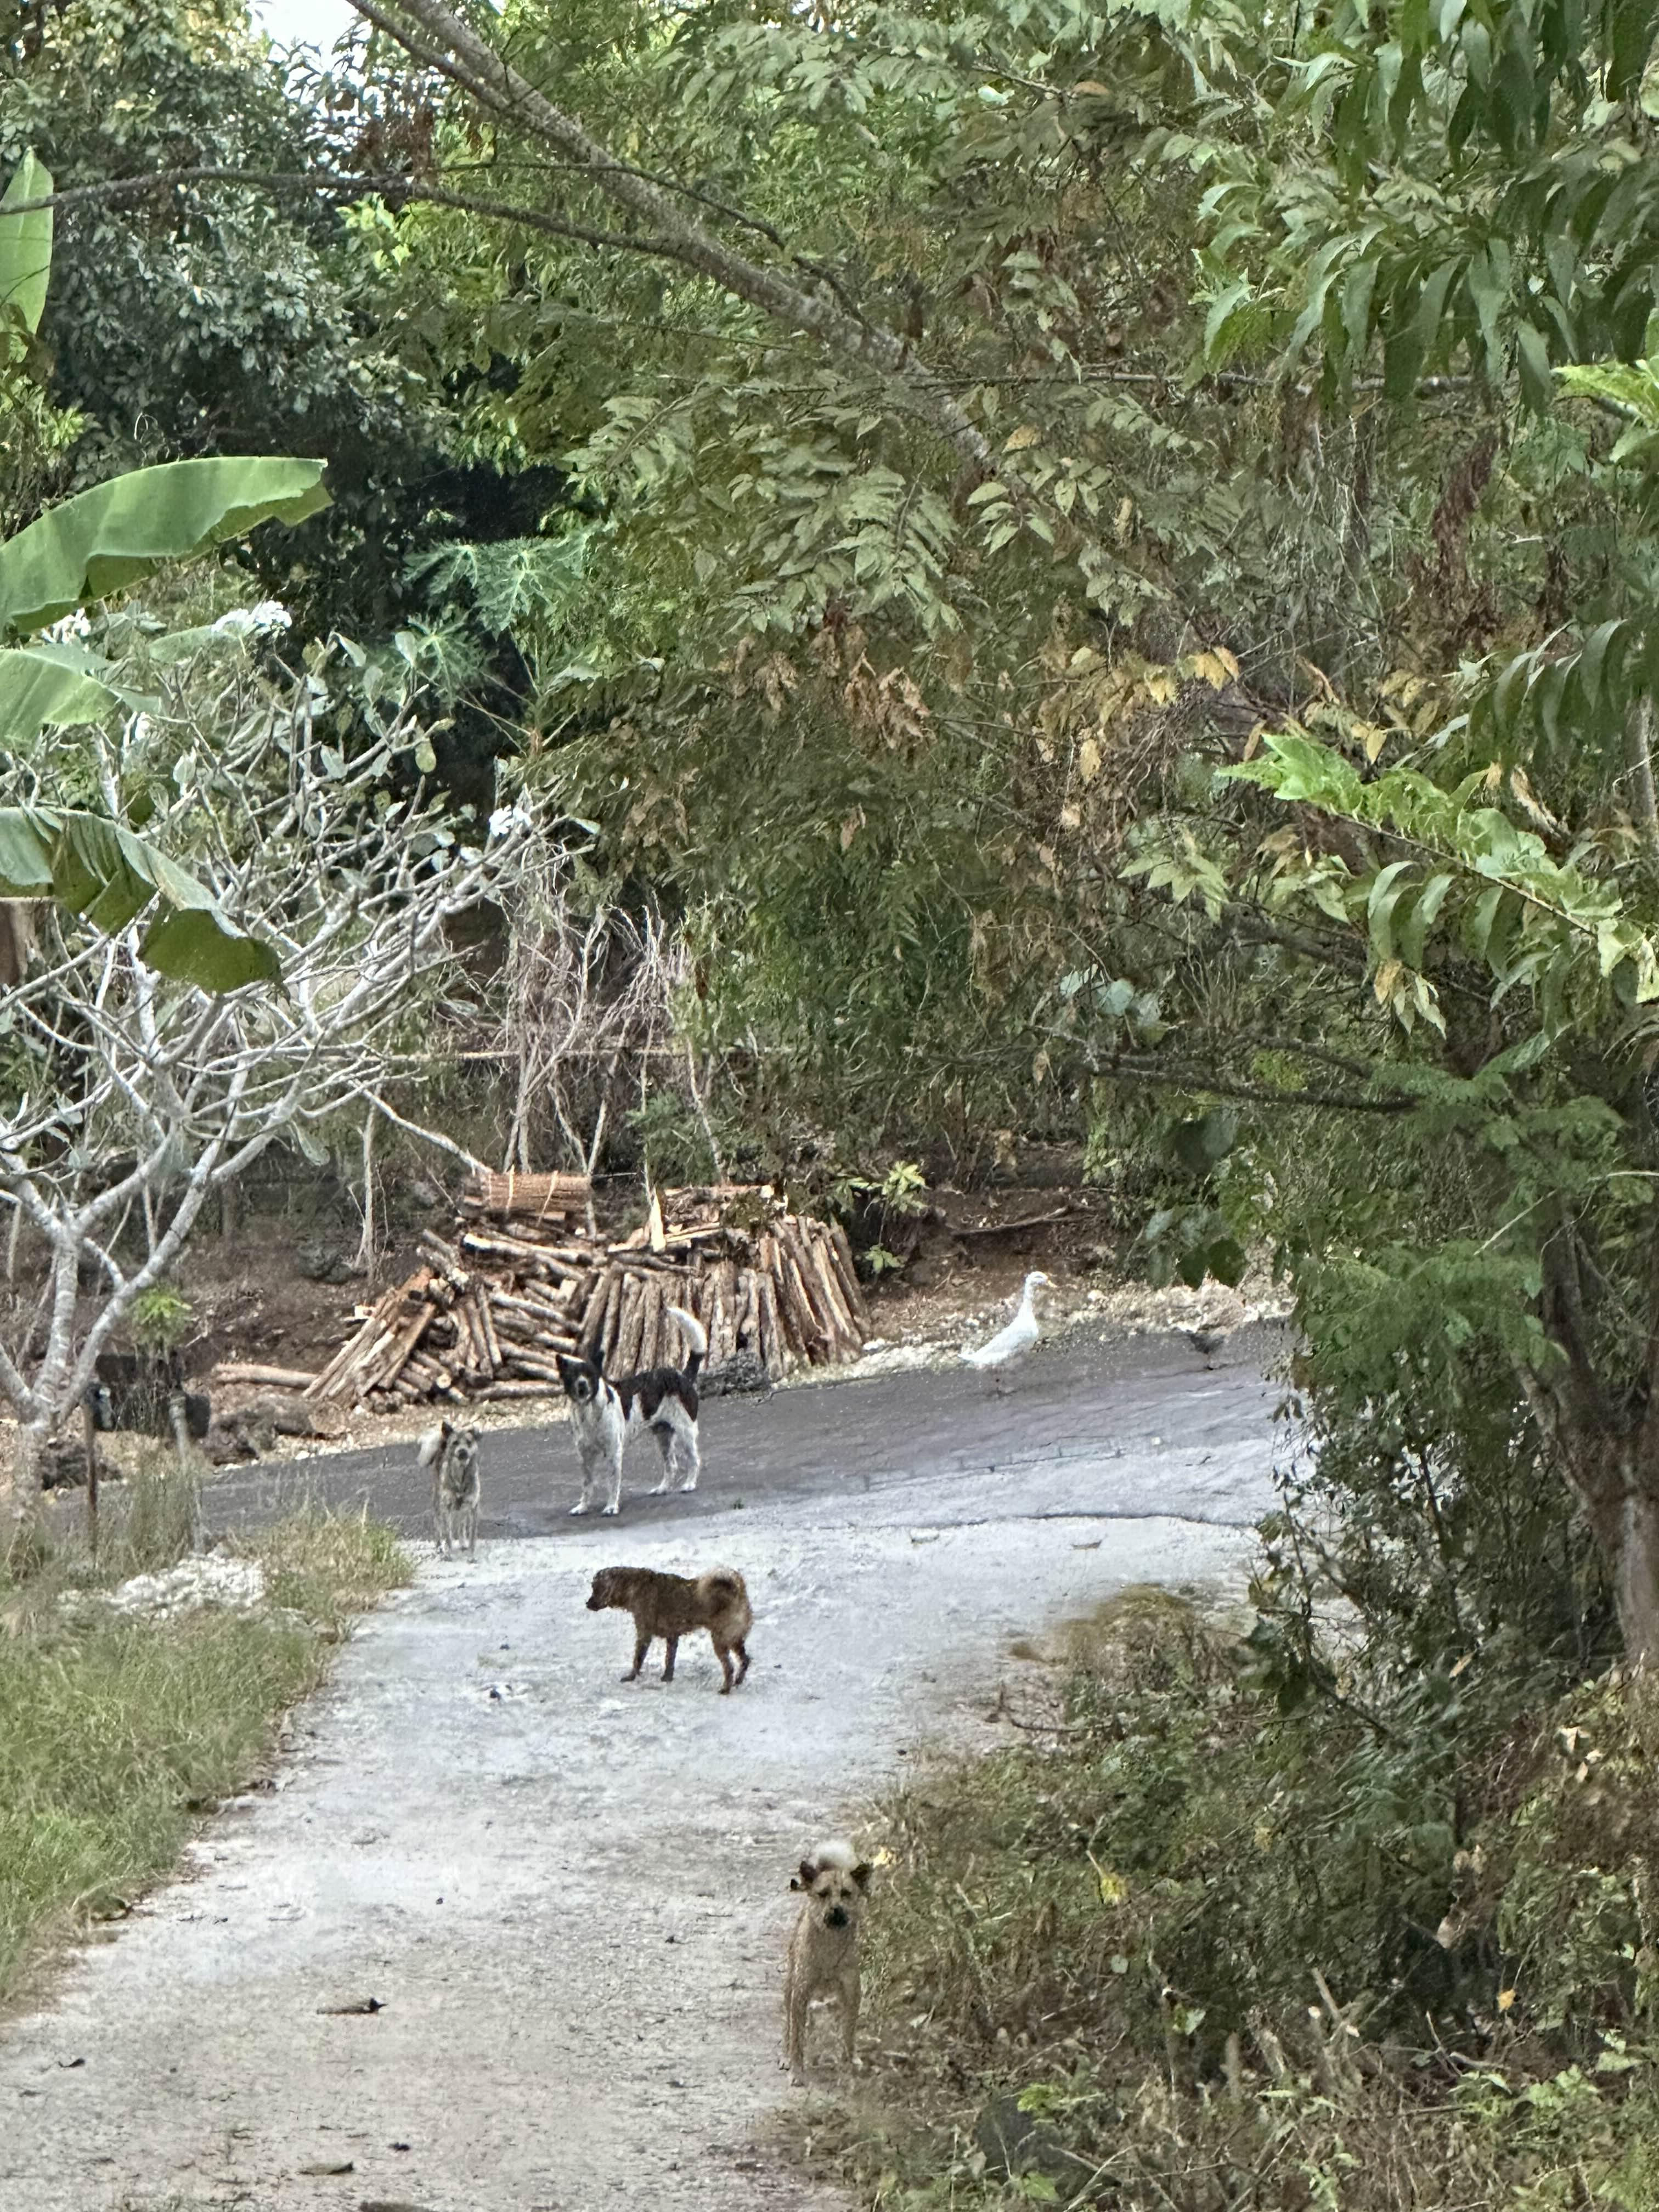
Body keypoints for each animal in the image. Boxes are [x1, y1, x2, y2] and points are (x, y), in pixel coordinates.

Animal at [560, 1309, 708, 1522]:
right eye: (572, 1376)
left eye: (590, 1375)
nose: (582, 1386)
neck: (589, 1412)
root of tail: (682, 1376)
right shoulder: (585, 1457)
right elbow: (587, 1485)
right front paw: (583, 1507)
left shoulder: (614, 1452)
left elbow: (613, 1483)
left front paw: (611, 1508)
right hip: (663, 1436)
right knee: (671, 1465)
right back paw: (662, 1489)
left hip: (686, 1432)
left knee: (694, 1459)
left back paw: (689, 1485)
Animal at [588, 1557, 756, 1690]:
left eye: (597, 1588)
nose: (587, 1604)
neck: (632, 1587)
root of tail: (737, 1591)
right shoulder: (672, 1636)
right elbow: (669, 1659)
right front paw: (667, 1678)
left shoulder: (644, 1634)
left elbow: (638, 1659)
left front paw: (631, 1677)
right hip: (734, 1639)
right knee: (745, 1660)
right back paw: (738, 1682)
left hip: (721, 1639)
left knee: (729, 1667)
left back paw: (726, 1689)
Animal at [787, 1840, 876, 2079]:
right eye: (823, 1894)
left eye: (846, 1894)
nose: (836, 1910)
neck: (829, 1948)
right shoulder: (801, 1991)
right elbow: (797, 2037)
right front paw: (796, 2069)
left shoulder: (851, 1992)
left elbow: (848, 2032)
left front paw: (848, 2061)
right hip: (790, 1985)